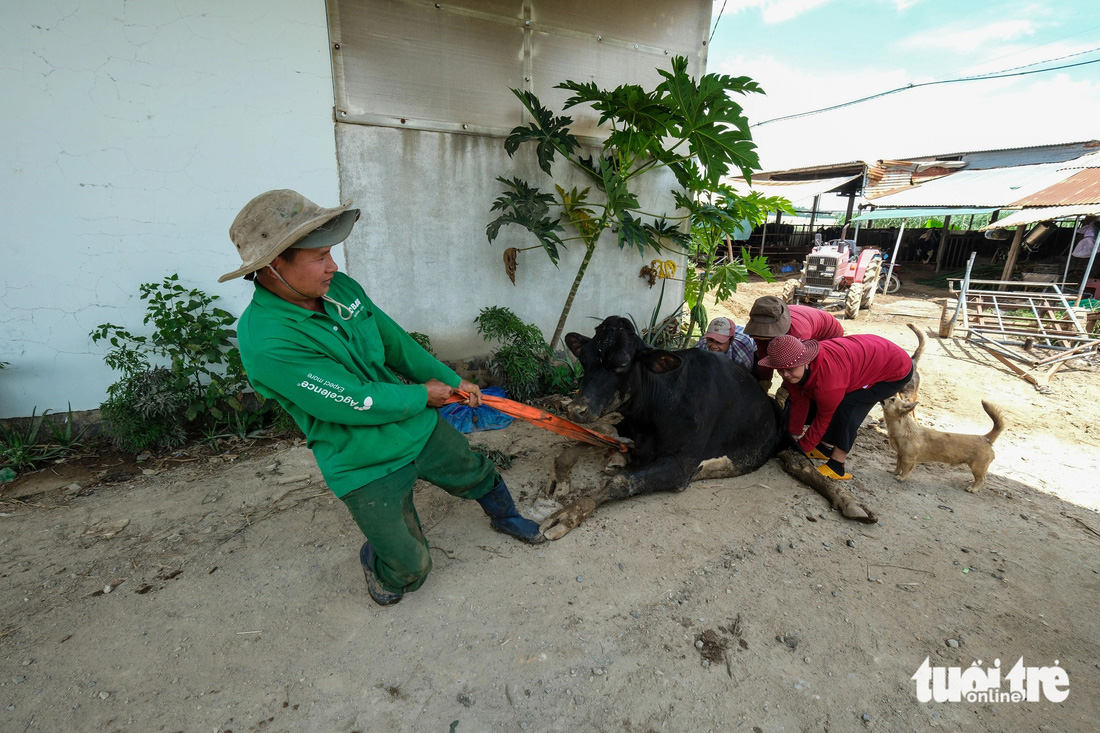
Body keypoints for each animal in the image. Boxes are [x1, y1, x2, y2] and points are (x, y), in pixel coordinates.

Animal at [541, 314, 875, 537]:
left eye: (621, 364)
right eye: (584, 360)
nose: (576, 408)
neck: (652, 414)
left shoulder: (680, 465)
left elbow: (620, 482)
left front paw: (567, 514)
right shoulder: (624, 425)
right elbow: (581, 438)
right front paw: (560, 477)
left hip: (784, 436)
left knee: (801, 464)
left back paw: (850, 501)